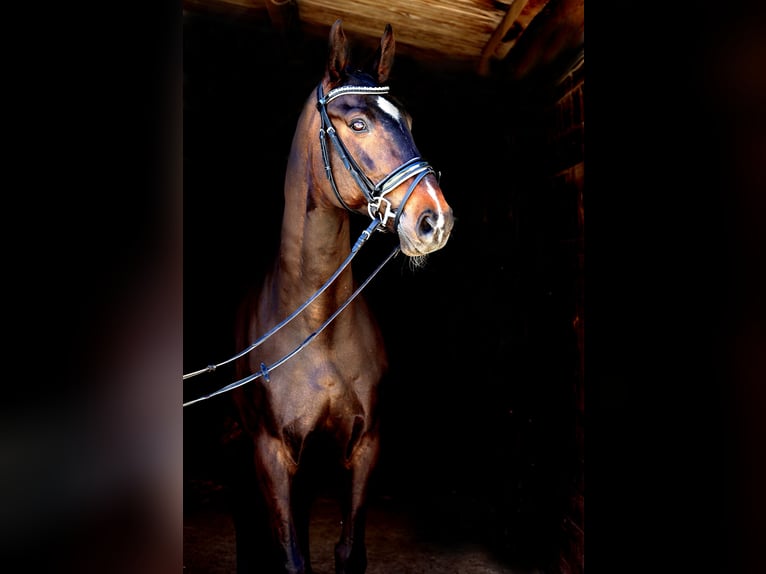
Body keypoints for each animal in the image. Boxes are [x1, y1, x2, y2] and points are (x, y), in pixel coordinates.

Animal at [230, 19, 454, 574]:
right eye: (357, 124)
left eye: (408, 120)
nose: (435, 219)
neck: (318, 330)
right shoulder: (271, 453)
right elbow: (291, 556)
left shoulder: (365, 447)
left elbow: (349, 552)